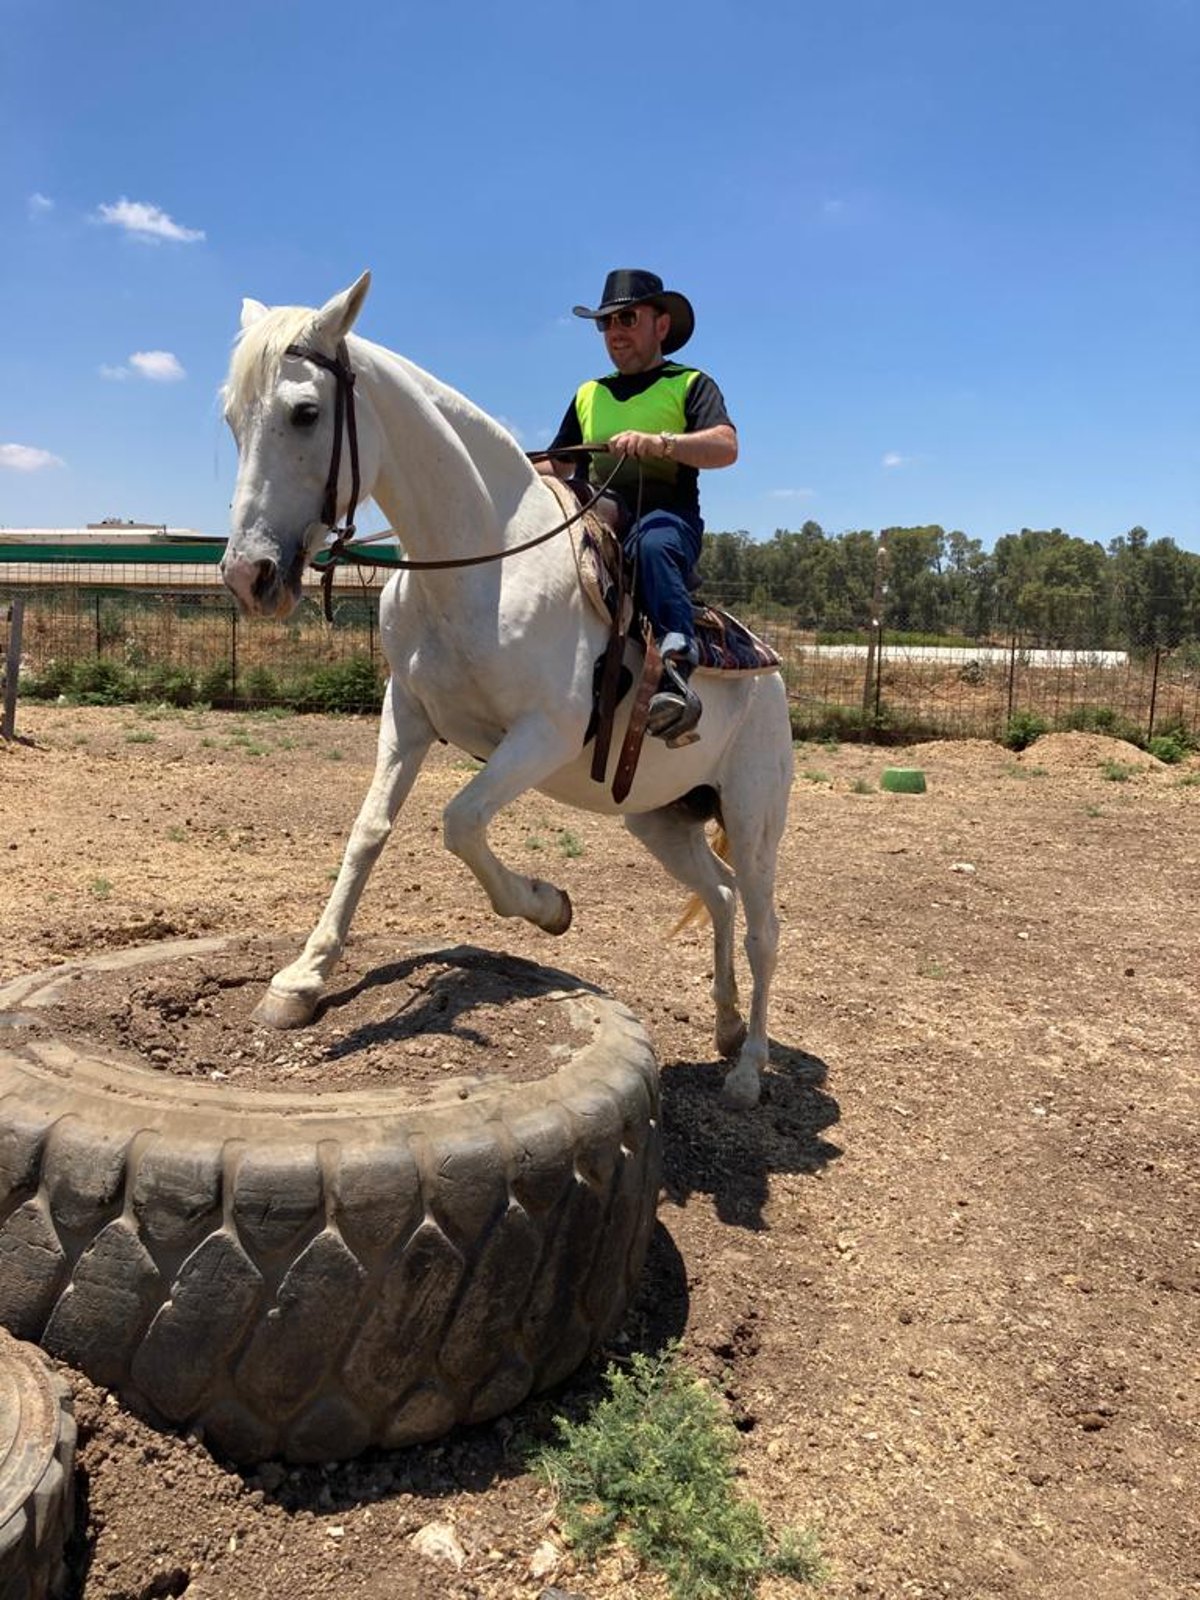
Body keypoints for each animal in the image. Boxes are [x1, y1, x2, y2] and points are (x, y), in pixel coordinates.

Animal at [220, 268, 793, 1107]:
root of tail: (770, 670)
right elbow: (368, 832)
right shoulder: (407, 715)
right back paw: (722, 1027)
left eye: (304, 411)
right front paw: (302, 979)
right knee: (717, 896)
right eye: (233, 418)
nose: (247, 576)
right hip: (660, 819)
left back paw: (750, 1067)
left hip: (754, 817)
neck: (483, 563)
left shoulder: (541, 736)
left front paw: (548, 907)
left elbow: (460, 821)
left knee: (761, 927)